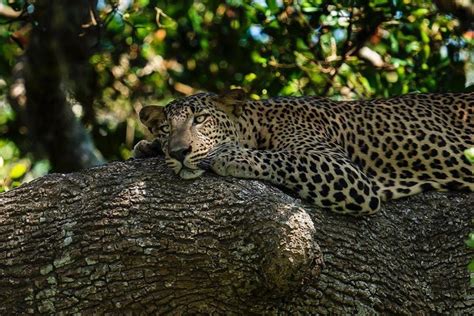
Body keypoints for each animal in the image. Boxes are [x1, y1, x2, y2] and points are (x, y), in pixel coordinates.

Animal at [134, 90, 474, 216]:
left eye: (200, 119)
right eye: (165, 128)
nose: (180, 151)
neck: (258, 123)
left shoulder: (349, 175)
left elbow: (285, 158)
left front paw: (227, 155)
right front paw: (149, 147)